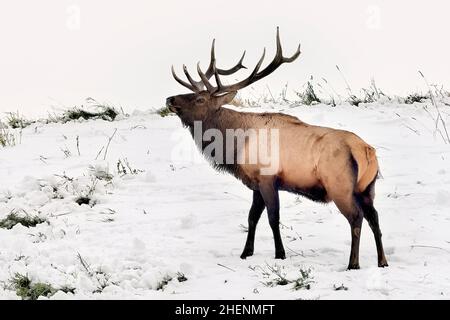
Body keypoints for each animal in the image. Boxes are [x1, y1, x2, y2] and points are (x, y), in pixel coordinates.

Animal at [167, 27, 388, 268]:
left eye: (200, 99)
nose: (170, 99)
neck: (235, 147)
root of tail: (367, 152)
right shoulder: (255, 183)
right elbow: (252, 217)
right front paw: (246, 252)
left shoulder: (267, 178)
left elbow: (273, 218)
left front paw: (280, 253)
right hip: (367, 188)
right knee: (375, 218)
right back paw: (382, 261)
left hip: (341, 186)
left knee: (356, 217)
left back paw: (353, 263)